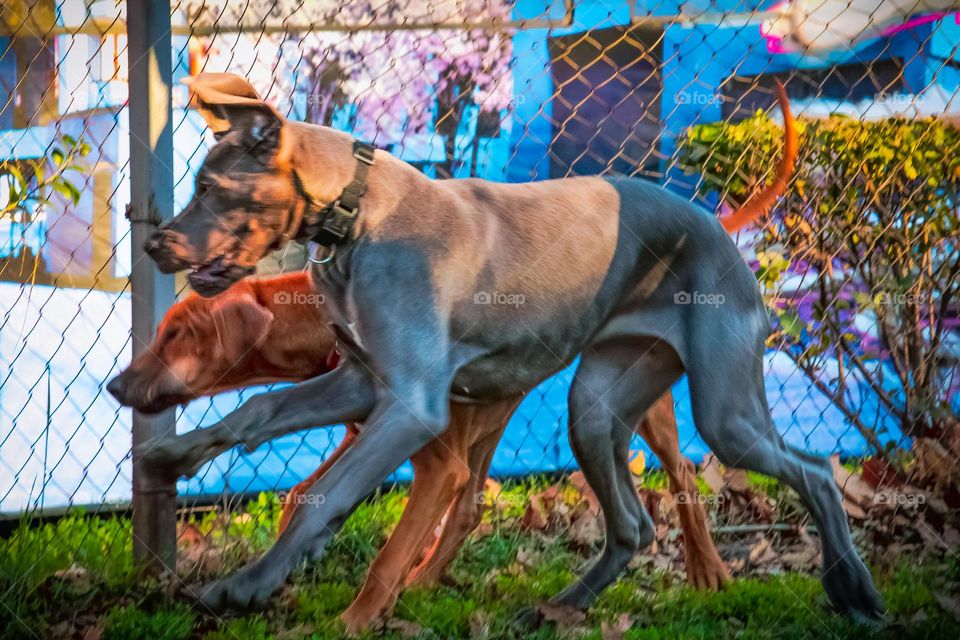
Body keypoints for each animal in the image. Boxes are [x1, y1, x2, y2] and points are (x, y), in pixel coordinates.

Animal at [107, 270, 728, 632]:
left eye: (175, 334)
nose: (114, 386)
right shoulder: (361, 427)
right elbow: (300, 489)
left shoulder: (432, 460)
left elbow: (382, 552)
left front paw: (357, 617)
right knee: (471, 504)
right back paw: (426, 579)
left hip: (634, 401)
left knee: (683, 473)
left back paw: (710, 571)